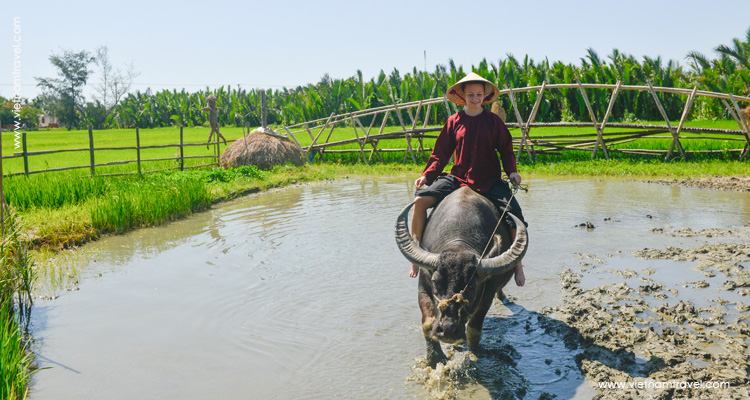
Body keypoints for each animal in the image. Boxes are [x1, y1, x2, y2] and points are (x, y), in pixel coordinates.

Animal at [394, 185, 528, 366]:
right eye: (436, 282)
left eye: (471, 286)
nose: (448, 331)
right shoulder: (423, 286)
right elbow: (427, 324)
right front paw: (434, 357)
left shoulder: (487, 293)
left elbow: (474, 329)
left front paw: (473, 353)